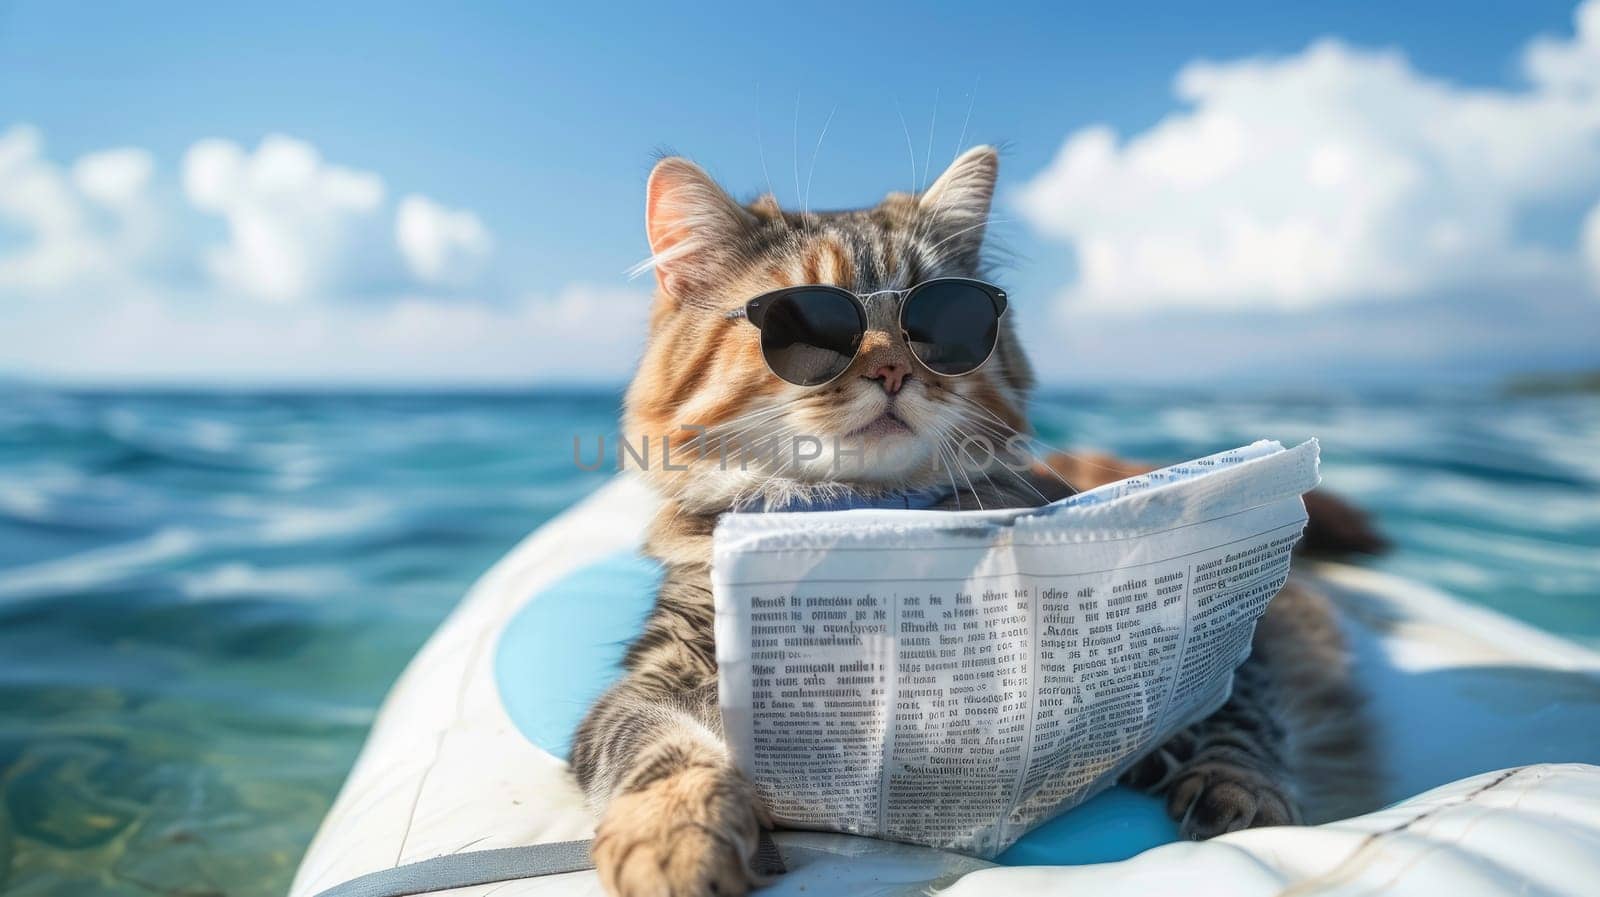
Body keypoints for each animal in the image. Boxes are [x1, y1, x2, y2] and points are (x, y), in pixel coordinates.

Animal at [566, 147, 1376, 895]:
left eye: (939, 320)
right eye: (804, 325)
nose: (892, 370)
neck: (869, 520)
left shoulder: (1217, 639)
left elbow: (1243, 718)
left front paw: (1245, 792)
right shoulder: (655, 678)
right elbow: (664, 752)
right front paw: (677, 841)